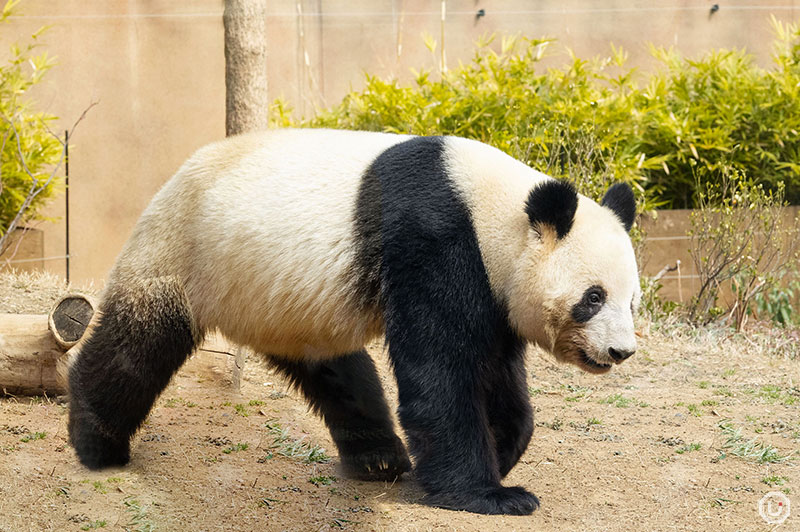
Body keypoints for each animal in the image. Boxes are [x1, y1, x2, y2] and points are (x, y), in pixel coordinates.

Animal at [67, 128, 636, 516]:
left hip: (288, 303)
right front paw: (492, 493)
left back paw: (379, 459)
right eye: (593, 297)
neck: (493, 209)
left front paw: (500, 450)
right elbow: (441, 370)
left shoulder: (494, 290)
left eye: (631, 302)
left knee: (338, 373)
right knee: (136, 346)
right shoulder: (433, 239)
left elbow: (495, 370)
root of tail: (174, 176)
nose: (620, 352)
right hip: (185, 252)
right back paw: (97, 444)